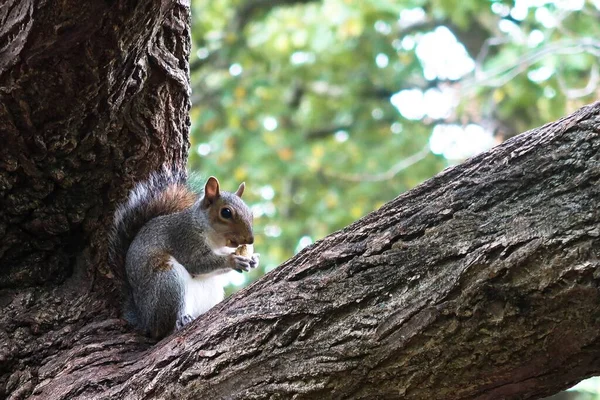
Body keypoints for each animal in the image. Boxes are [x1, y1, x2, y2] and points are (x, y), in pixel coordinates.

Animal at [109, 167, 258, 340]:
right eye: (226, 212)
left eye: (250, 213)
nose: (250, 239)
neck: (216, 241)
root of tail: (145, 320)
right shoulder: (184, 239)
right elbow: (196, 263)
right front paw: (232, 260)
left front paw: (253, 259)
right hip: (168, 281)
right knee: (163, 329)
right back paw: (180, 321)